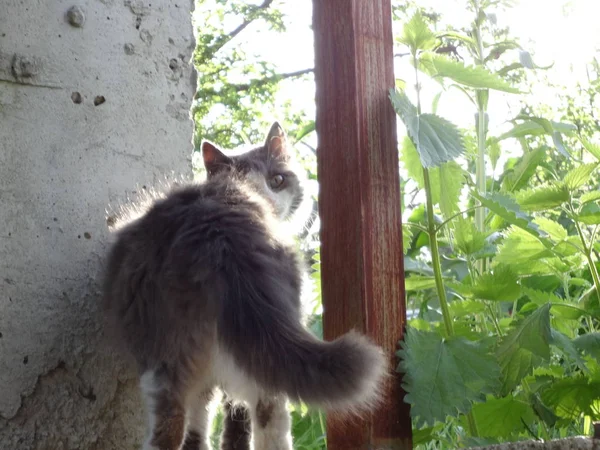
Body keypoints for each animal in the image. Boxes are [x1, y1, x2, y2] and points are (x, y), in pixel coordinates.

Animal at [101, 121, 386, 448]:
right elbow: (231, 418)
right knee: (266, 418)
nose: (269, 199)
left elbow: (207, 422)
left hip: (172, 355)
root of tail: (221, 235)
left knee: (176, 428)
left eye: (277, 179)